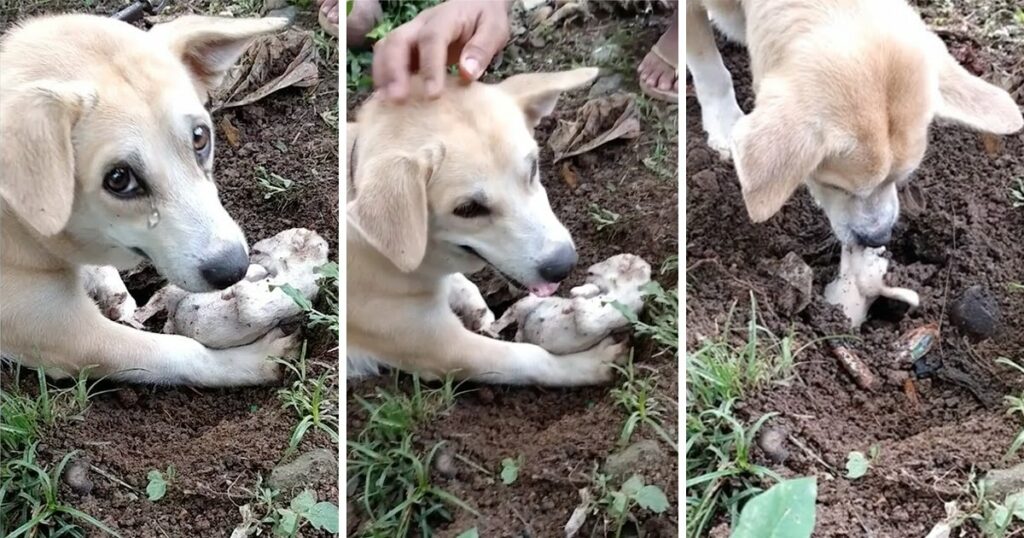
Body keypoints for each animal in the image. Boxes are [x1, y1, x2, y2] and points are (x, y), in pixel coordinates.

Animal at [0, 14, 299, 383]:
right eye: (118, 179)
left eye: (200, 137)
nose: (234, 269)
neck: (18, 225)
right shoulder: (69, 335)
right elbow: (184, 353)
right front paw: (251, 362)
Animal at [348, 69, 626, 383]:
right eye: (468, 209)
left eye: (533, 168)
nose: (564, 265)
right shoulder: (442, 346)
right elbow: (532, 359)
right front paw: (588, 365)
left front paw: (471, 300)